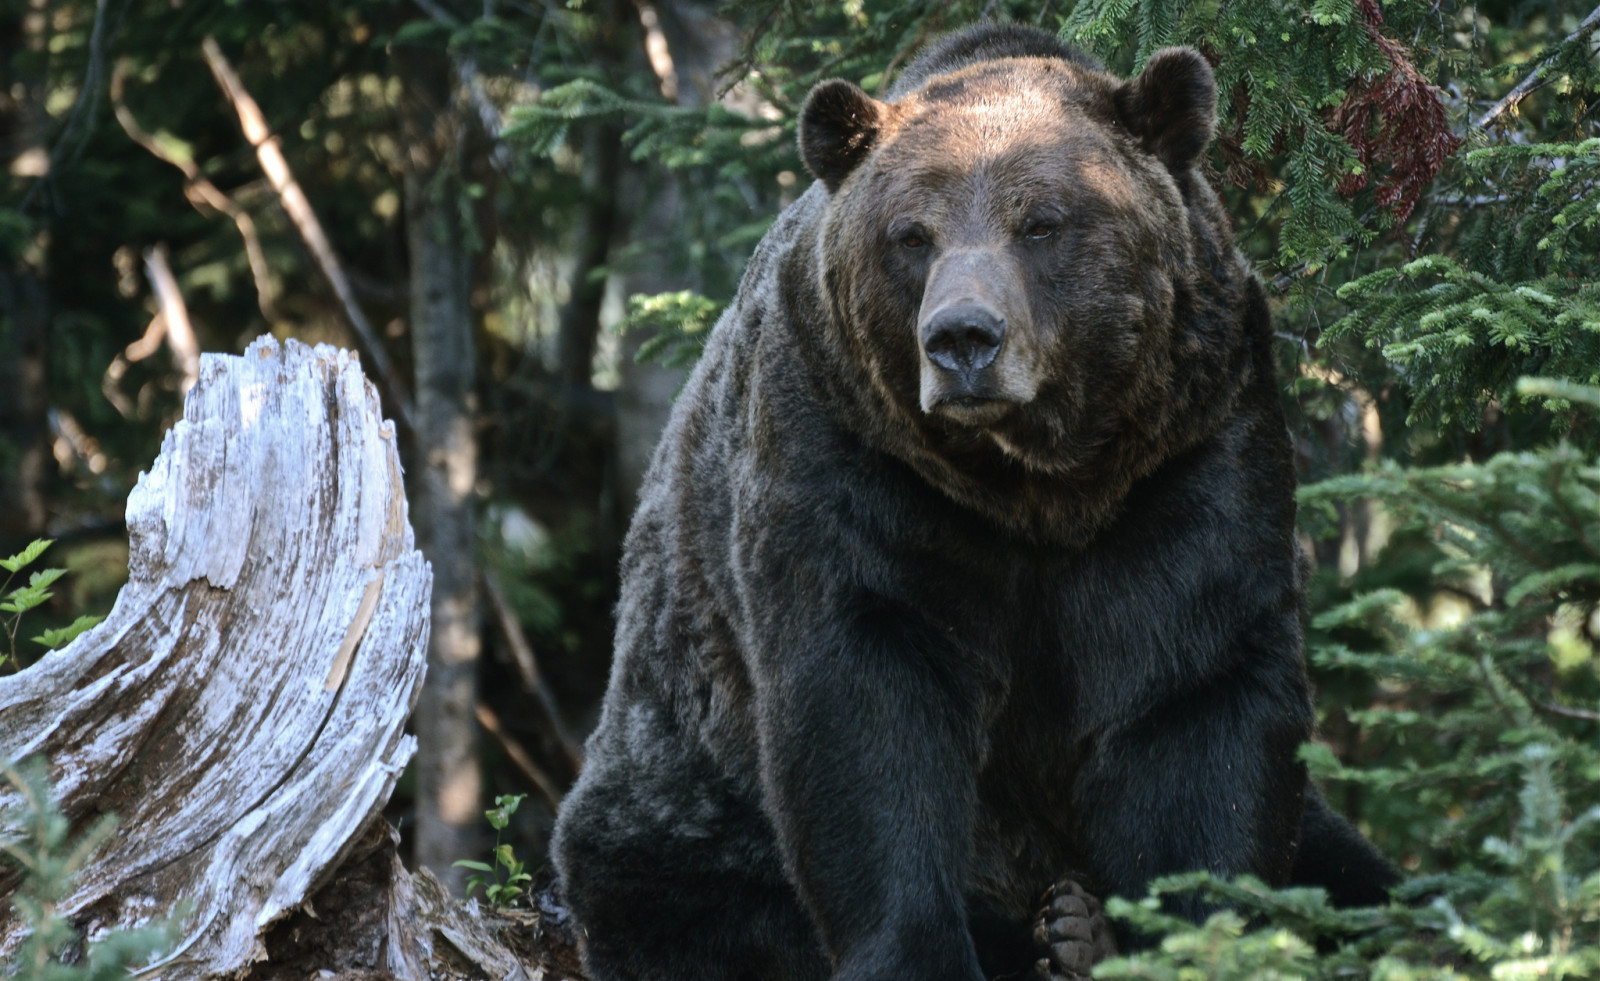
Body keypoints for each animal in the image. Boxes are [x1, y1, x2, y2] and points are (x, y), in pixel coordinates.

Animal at [551, 22, 1397, 981]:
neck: (1039, 483)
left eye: (1043, 222)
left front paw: (1187, 936)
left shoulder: (1190, 458)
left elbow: (1201, 698)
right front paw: (920, 947)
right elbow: (864, 706)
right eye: (912, 234)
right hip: (685, 793)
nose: (962, 338)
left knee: (1360, 874)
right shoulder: (857, 463)